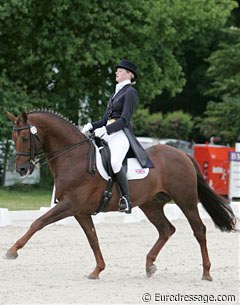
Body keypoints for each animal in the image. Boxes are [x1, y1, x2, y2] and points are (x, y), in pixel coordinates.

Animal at [5, 110, 236, 280]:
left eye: (24, 137)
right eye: (13, 137)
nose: (21, 170)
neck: (73, 157)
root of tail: (184, 154)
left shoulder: (69, 205)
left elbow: (38, 222)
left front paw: (12, 251)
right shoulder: (80, 211)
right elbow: (93, 238)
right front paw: (97, 270)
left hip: (185, 200)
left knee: (199, 230)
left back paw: (206, 272)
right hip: (151, 205)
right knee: (166, 229)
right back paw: (149, 265)